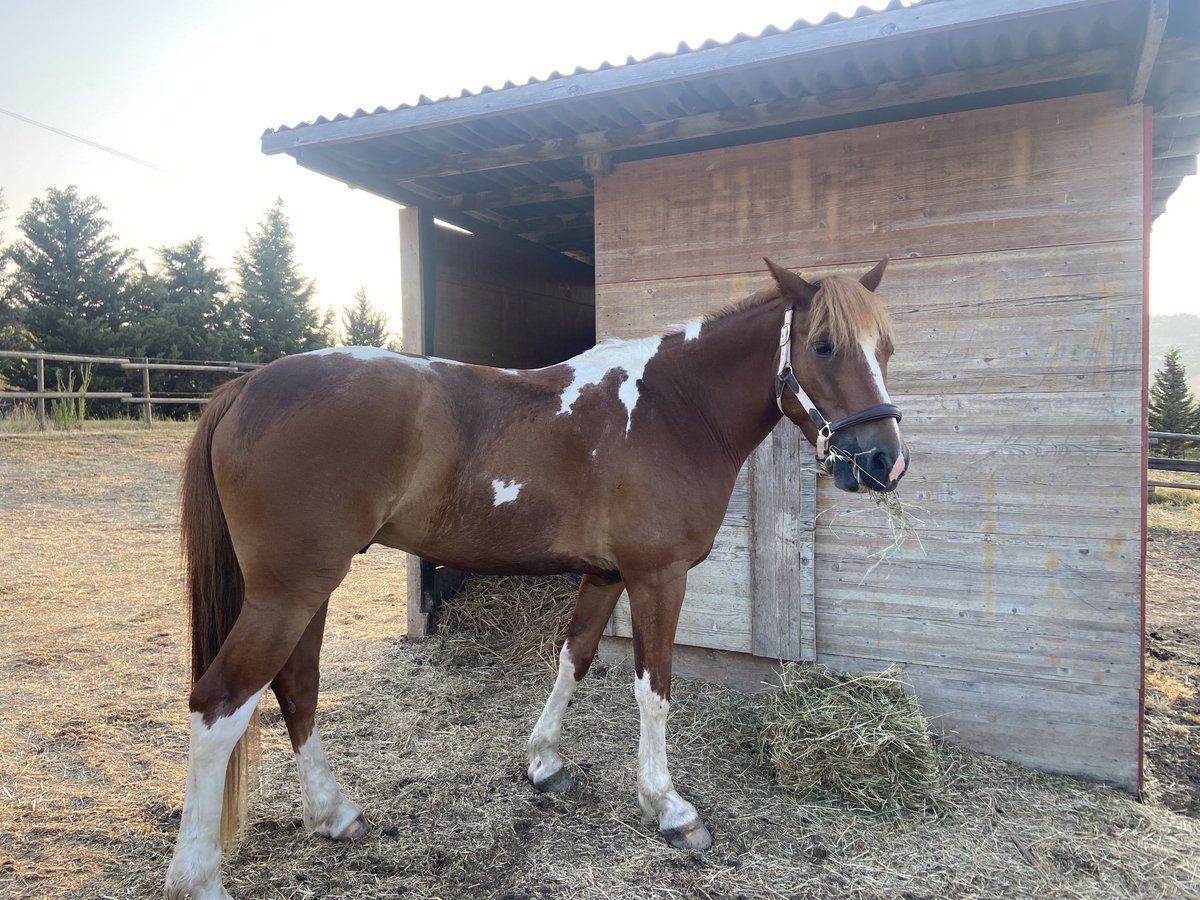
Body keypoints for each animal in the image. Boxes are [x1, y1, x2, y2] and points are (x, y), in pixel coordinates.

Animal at [164, 257, 907, 899]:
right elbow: (654, 690)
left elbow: (573, 657)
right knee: (220, 703)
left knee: (296, 684)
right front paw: (669, 807)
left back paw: (333, 814)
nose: (883, 463)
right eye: (824, 346)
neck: (672, 408)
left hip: (308, 590)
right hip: (286, 594)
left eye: (888, 347)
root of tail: (247, 386)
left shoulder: (607, 575)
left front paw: (545, 762)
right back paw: (199, 877)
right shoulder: (657, 578)